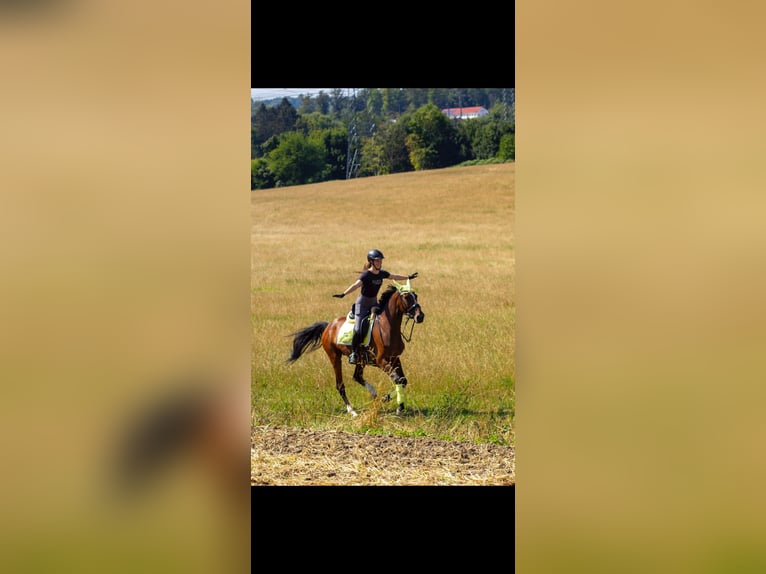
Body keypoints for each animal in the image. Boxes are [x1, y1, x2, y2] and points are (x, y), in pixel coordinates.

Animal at [286, 279, 425, 417]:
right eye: (406, 297)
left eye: (416, 296)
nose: (420, 316)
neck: (387, 327)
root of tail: (328, 326)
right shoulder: (381, 361)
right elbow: (397, 379)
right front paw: (391, 401)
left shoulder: (395, 358)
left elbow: (403, 380)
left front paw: (396, 405)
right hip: (335, 357)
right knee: (340, 385)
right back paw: (352, 410)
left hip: (360, 359)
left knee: (357, 376)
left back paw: (373, 393)